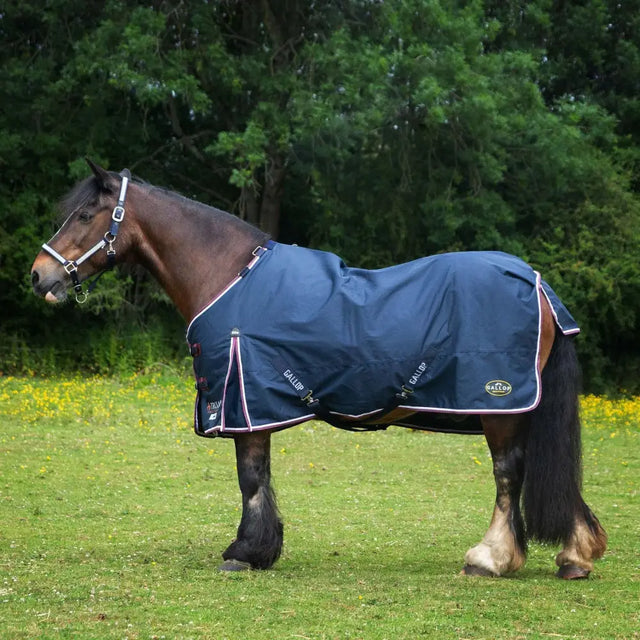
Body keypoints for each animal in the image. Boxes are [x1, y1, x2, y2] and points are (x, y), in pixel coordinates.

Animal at [30, 160, 607, 578]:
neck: (228, 276)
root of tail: (536, 283)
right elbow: (259, 476)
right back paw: (575, 555)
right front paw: (260, 549)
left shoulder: (243, 402)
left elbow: (250, 476)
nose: (38, 276)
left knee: (508, 473)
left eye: (84, 215)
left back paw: (490, 558)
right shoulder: (254, 404)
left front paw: (244, 552)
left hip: (499, 405)